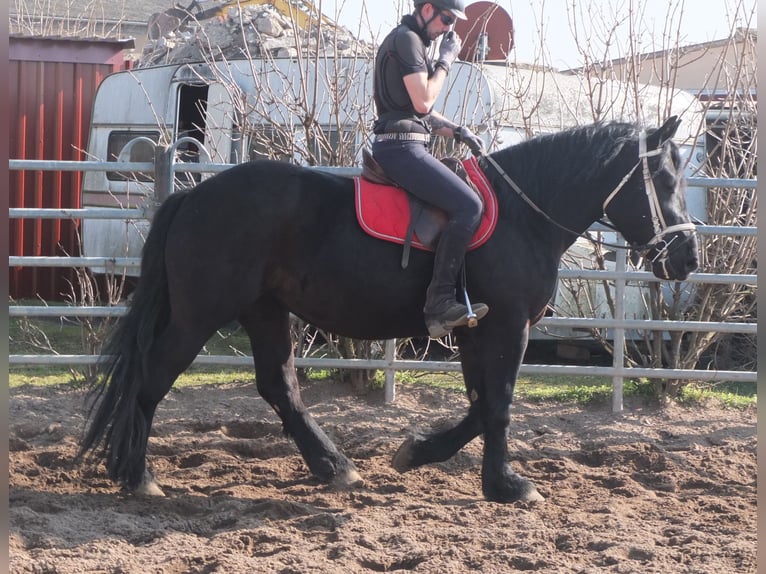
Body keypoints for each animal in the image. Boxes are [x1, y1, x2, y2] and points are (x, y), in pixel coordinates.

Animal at [79, 117, 704, 504]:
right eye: (663, 177)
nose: (688, 257)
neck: (524, 214)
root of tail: (193, 195)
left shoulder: (475, 331)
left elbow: (480, 407)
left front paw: (418, 453)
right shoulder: (506, 327)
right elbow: (499, 405)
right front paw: (507, 485)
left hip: (263, 310)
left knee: (279, 385)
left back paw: (333, 467)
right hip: (199, 314)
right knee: (151, 377)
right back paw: (137, 475)